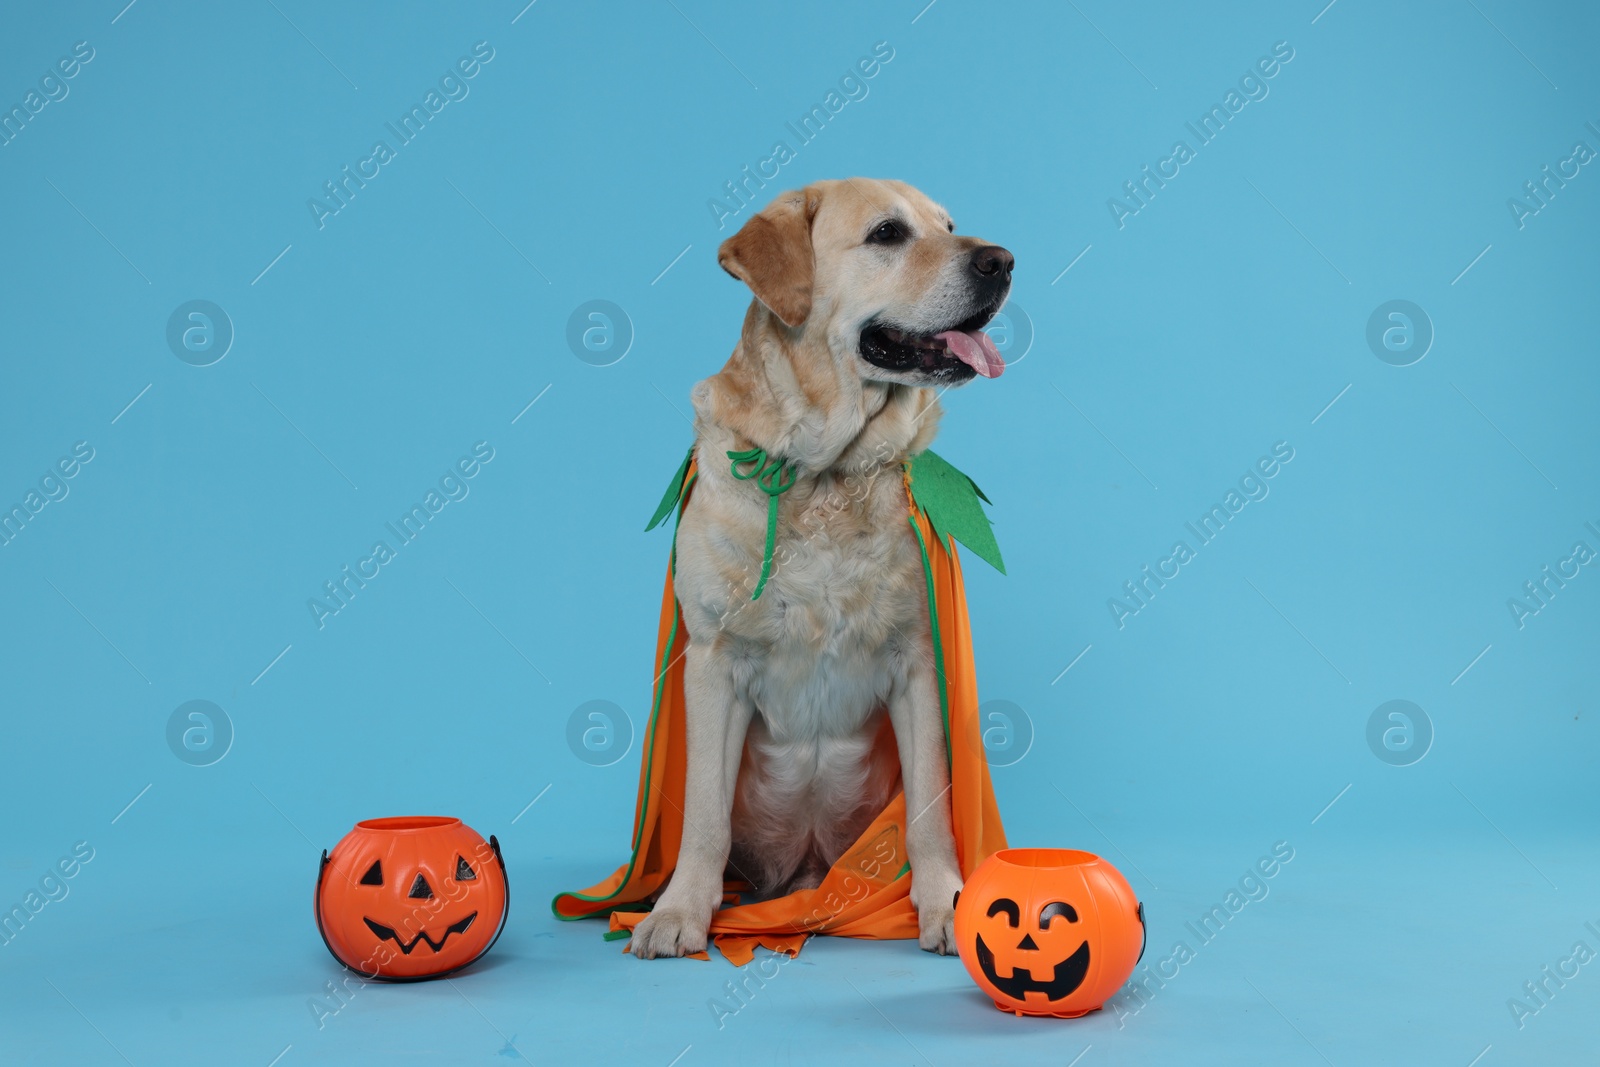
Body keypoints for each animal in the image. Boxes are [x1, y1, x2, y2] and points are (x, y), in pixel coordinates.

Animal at [627, 177, 1011, 959]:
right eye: (888, 233)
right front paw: (681, 911)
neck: (825, 475)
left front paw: (944, 902)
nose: (1004, 261)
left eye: (948, 225)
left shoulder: (918, 660)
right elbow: (703, 816)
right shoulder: (713, 659)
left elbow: (930, 811)